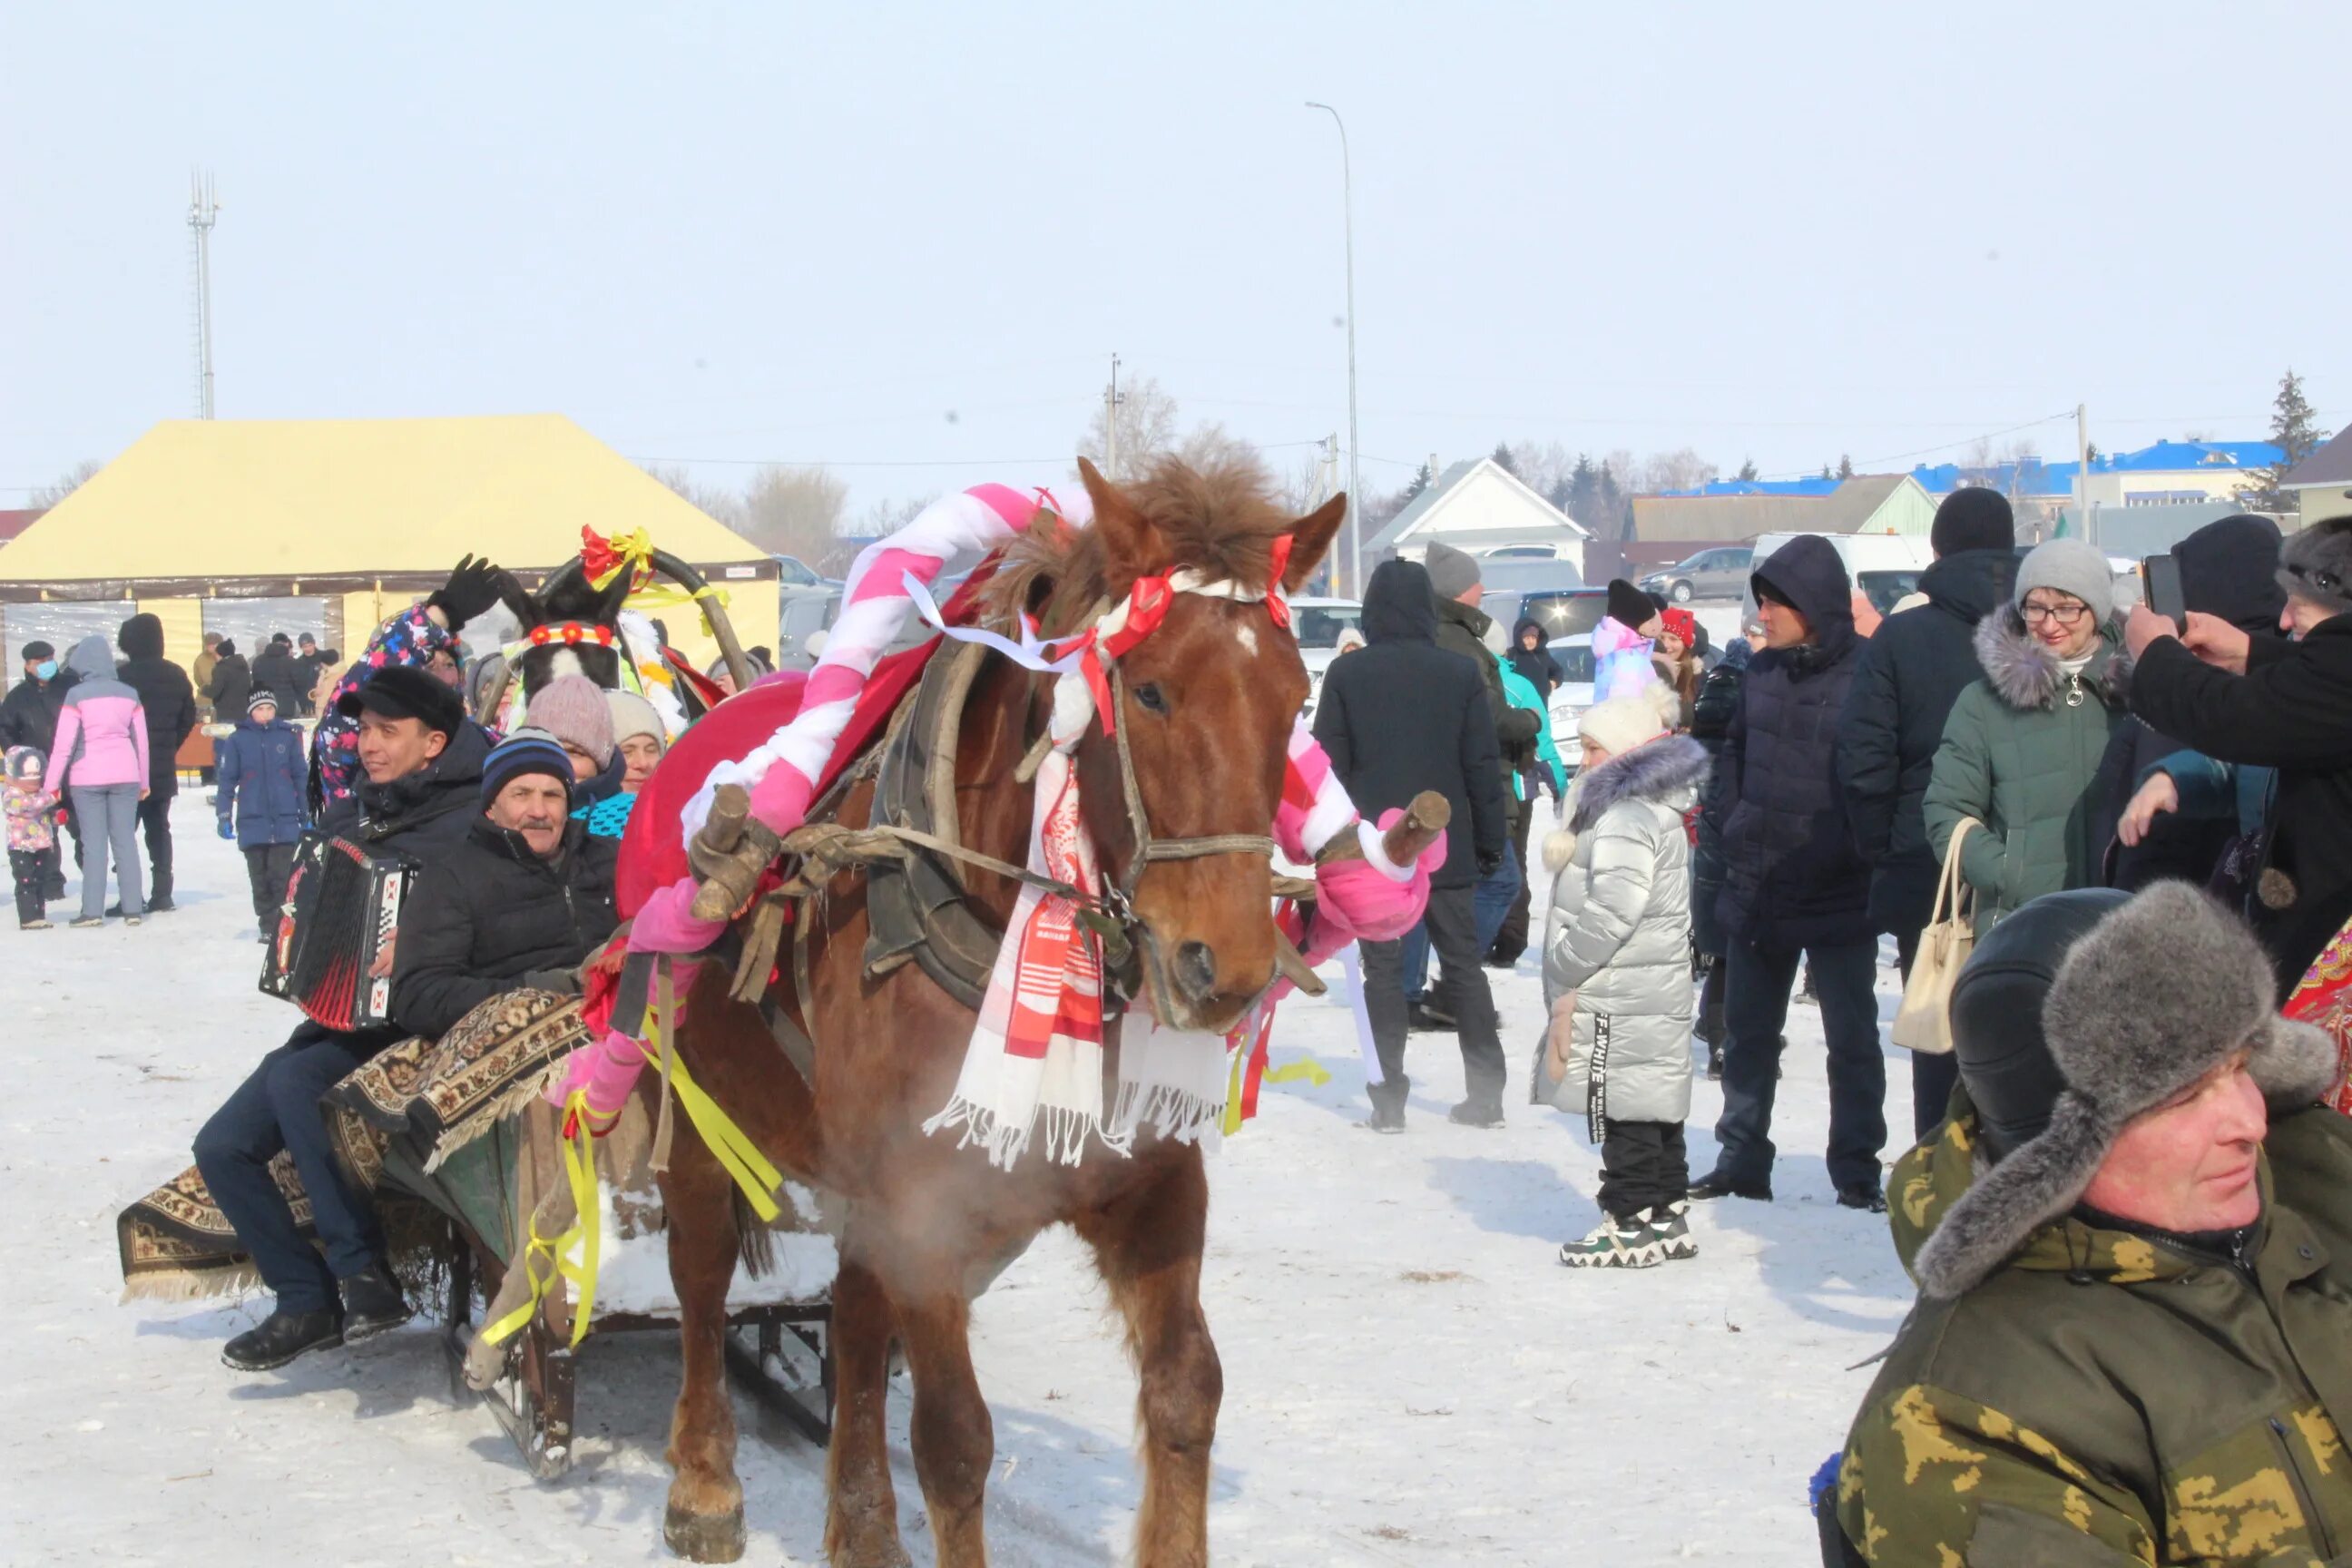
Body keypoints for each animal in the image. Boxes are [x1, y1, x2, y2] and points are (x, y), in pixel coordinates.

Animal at [662, 456, 1354, 1568]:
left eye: (1295, 700)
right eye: (1149, 689)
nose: (1230, 967)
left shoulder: (1147, 1180)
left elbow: (1186, 1390)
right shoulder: (922, 1204)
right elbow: (953, 1439)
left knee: (854, 1317)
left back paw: (863, 1529)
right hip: (695, 1103)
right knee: (700, 1268)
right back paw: (704, 1482)